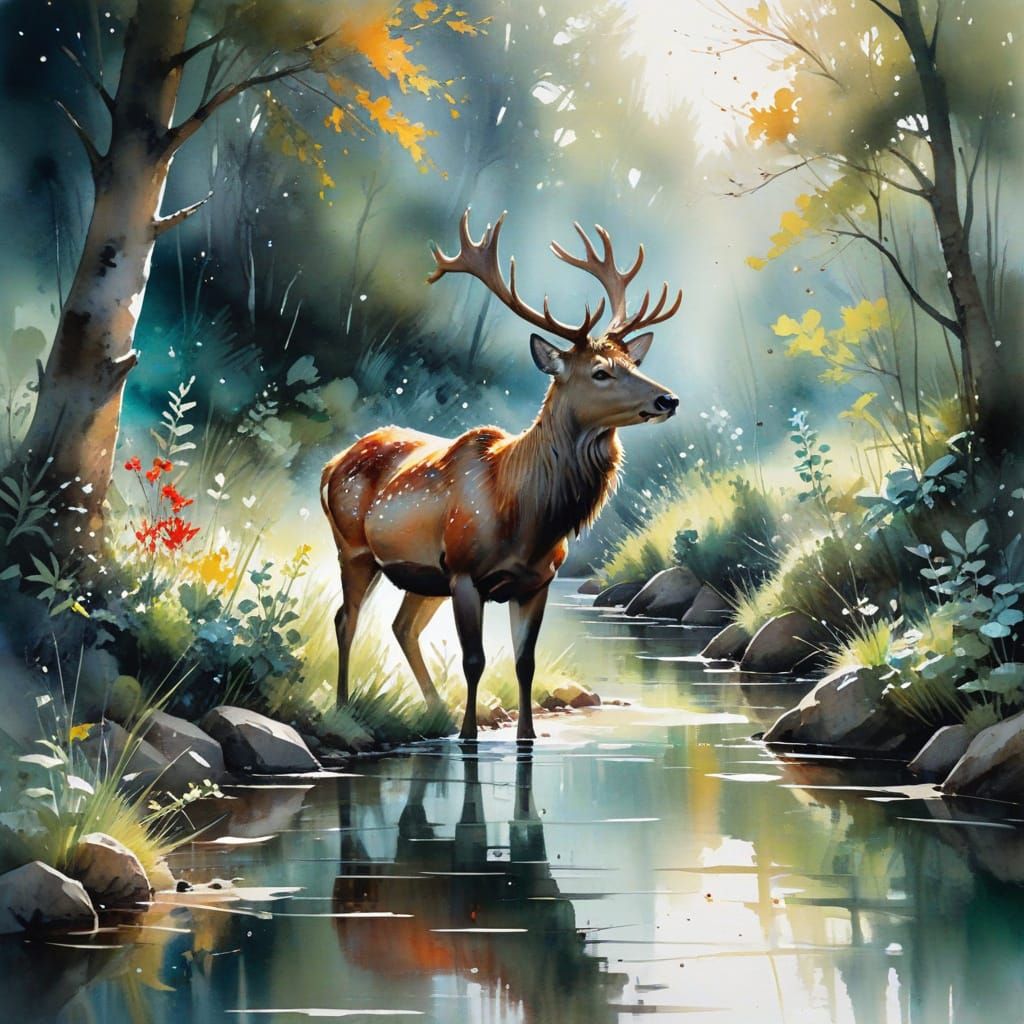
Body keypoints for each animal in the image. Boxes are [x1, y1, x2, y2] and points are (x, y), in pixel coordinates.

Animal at [320, 210, 682, 740]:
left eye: (632, 362)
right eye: (599, 372)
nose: (667, 399)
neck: (525, 515)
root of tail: (330, 465)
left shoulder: (537, 581)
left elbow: (523, 663)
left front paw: (526, 736)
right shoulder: (465, 571)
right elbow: (474, 660)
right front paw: (469, 735)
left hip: (421, 575)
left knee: (402, 627)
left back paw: (435, 710)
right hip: (354, 549)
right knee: (346, 618)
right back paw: (347, 709)